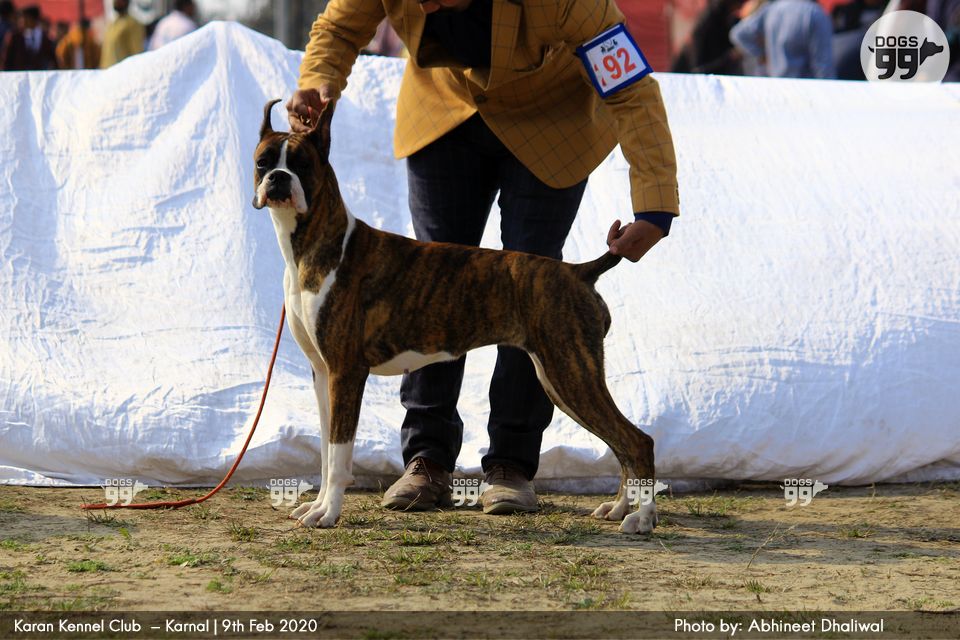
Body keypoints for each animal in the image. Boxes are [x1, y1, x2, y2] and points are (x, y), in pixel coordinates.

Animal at [252, 99, 659, 534]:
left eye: (302, 164)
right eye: (263, 162)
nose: (278, 179)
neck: (316, 244)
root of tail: (577, 270)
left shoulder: (346, 373)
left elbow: (339, 452)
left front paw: (328, 512)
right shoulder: (323, 373)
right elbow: (328, 454)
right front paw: (317, 506)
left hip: (571, 375)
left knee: (637, 441)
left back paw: (642, 517)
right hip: (561, 379)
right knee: (621, 444)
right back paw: (619, 508)